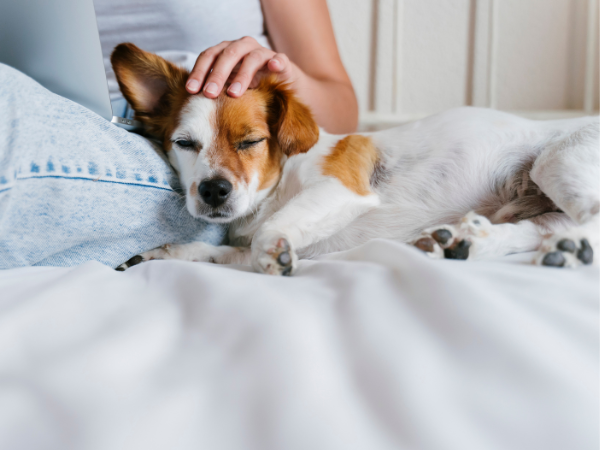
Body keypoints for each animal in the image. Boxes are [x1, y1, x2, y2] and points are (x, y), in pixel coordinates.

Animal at [113, 43, 600, 274]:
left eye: (250, 142)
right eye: (184, 143)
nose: (214, 190)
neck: (276, 189)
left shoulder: (341, 189)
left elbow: (268, 236)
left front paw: (276, 256)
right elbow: (219, 251)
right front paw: (162, 253)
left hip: (557, 161)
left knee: (590, 220)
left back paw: (572, 249)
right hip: (541, 204)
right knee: (545, 228)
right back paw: (468, 243)